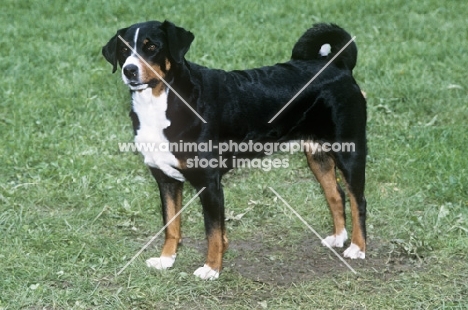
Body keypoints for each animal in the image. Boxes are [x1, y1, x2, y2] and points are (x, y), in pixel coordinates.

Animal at [101, 20, 366, 280]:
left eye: (152, 47)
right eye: (124, 50)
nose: (129, 70)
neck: (161, 103)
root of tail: (338, 65)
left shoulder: (209, 183)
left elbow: (213, 231)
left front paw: (211, 268)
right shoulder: (166, 179)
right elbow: (171, 225)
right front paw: (166, 260)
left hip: (349, 152)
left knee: (358, 201)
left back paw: (357, 247)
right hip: (317, 155)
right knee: (336, 195)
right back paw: (338, 237)